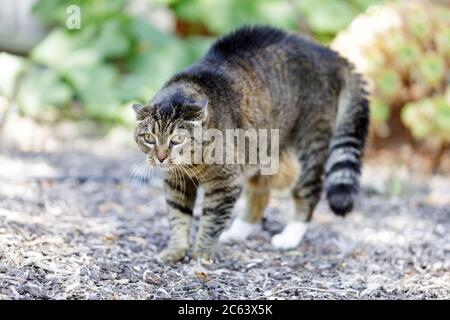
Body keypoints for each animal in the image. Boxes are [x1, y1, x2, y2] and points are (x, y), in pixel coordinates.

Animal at [131, 26, 370, 264]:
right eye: (149, 138)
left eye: (177, 139)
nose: (161, 157)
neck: (192, 163)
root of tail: (330, 54)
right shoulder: (177, 182)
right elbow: (178, 216)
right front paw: (176, 249)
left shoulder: (224, 183)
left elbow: (211, 221)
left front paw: (202, 254)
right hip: (259, 153)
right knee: (260, 196)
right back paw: (237, 232)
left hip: (308, 150)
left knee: (309, 193)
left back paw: (290, 236)